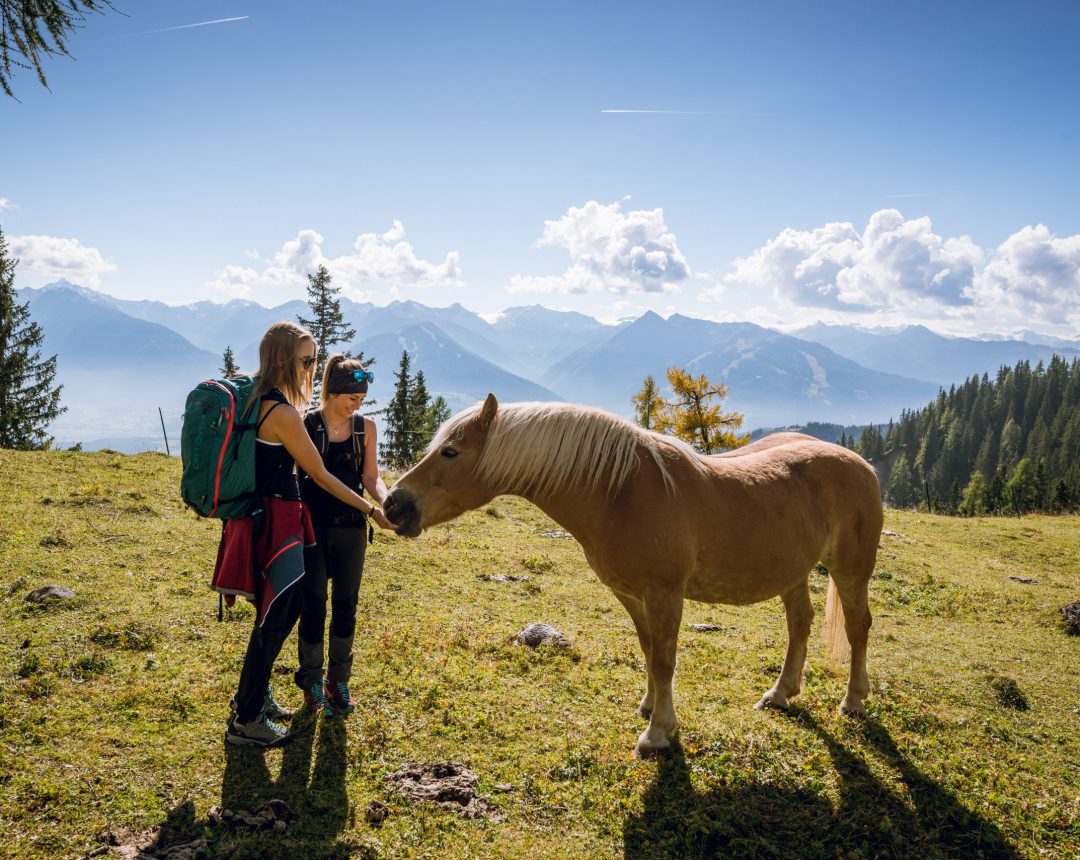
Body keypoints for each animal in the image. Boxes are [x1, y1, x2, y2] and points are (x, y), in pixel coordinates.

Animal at [382, 394, 883, 758]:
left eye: (450, 451)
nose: (394, 505)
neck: (619, 492)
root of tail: (861, 464)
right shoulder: (632, 594)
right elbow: (648, 651)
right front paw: (649, 708)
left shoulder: (665, 594)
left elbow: (664, 660)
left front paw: (659, 734)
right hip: (794, 574)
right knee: (800, 624)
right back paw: (780, 694)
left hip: (851, 571)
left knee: (858, 628)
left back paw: (853, 701)